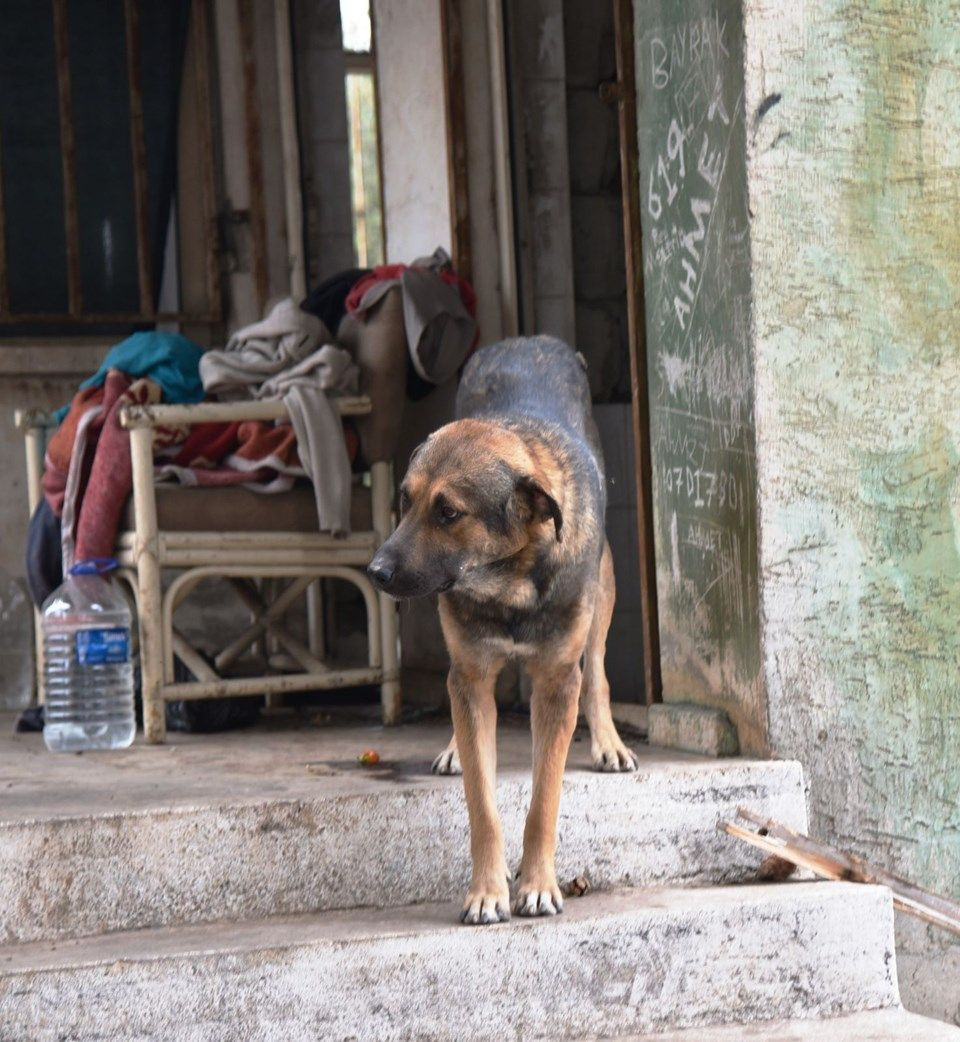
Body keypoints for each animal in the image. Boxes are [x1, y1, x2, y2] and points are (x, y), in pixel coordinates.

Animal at [366, 337, 637, 925]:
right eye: (405, 500)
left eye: (448, 512)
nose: (375, 573)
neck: (506, 581)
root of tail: (528, 340)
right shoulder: (470, 675)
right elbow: (483, 803)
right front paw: (487, 892)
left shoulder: (557, 683)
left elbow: (543, 801)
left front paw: (536, 885)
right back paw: (452, 747)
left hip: (604, 585)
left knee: (598, 672)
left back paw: (609, 742)